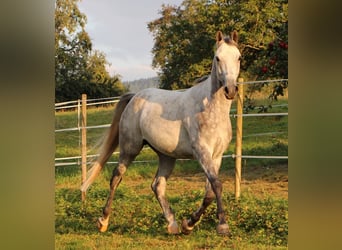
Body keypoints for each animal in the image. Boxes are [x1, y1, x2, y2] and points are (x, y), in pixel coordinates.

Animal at [81, 30, 240, 235]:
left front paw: (189, 224)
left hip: (166, 156)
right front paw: (222, 225)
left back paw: (172, 224)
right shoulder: (202, 153)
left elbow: (210, 192)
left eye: (238, 57)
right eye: (217, 58)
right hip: (130, 148)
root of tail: (134, 97)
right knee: (116, 177)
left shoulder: (216, 156)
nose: (230, 89)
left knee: (157, 185)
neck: (210, 109)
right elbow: (217, 185)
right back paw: (103, 221)